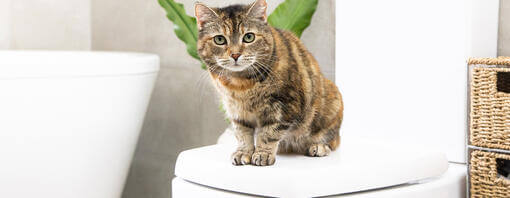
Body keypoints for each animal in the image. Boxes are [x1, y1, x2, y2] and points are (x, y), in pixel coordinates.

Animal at [194, 0, 342, 166]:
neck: (240, 84)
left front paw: (263, 154)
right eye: (219, 39)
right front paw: (243, 152)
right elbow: (242, 134)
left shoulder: (283, 106)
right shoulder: (236, 110)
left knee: (332, 140)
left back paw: (319, 146)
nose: (235, 54)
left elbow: (268, 133)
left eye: (249, 37)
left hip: (332, 104)